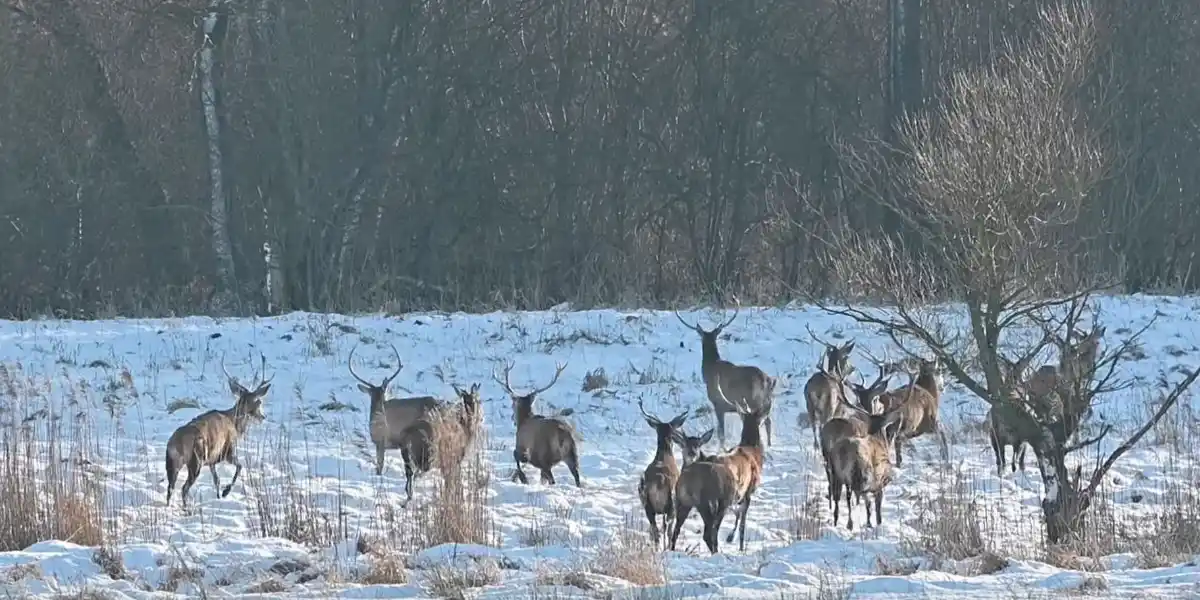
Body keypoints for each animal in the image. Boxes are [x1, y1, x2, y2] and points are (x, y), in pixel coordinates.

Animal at [166, 352, 272, 508]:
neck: (234, 424)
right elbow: (240, 466)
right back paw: (186, 508)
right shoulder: (228, 450)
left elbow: (217, 480)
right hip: (196, 460)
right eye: (259, 402)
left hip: (172, 462)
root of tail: (175, 443)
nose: (262, 416)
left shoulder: (212, 460)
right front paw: (225, 492)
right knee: (183, 488)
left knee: (170, 488)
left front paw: (218, 496)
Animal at [633, 400, 691, 547]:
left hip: (647, 505)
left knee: (655, 530)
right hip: (671, 504)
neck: (664, 455)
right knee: (665, 531)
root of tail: (658, 483)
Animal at [667, 374, 768, 552]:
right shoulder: (748, 491)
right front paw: (739, 545)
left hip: (682, 501)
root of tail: (688, 478)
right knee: (709, 533)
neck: (753, 451)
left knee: (676, 531)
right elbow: (742, 523)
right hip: (712, 501)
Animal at [676, 302, 777, 448]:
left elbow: (721, 433)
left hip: (753, 400)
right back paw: (769, 445)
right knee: (768, 422)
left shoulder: (718, 404)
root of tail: (767, 380)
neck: (708, 369)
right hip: (767, 400)